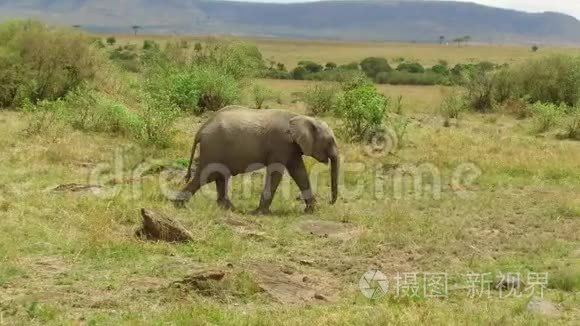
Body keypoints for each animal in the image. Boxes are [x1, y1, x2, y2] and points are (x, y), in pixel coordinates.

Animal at [177, 105, 340, 215]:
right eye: (330, 141)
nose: (330, 202)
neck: (300, 117)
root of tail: (201, 130)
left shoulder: (291, 147)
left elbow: (299, 172)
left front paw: (311, 211)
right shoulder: (280, 144)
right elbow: (276, 173)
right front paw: (261, 212)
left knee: (219, 176)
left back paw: (230, 209)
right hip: (213, 148)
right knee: (207, 176)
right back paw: (179, 204)